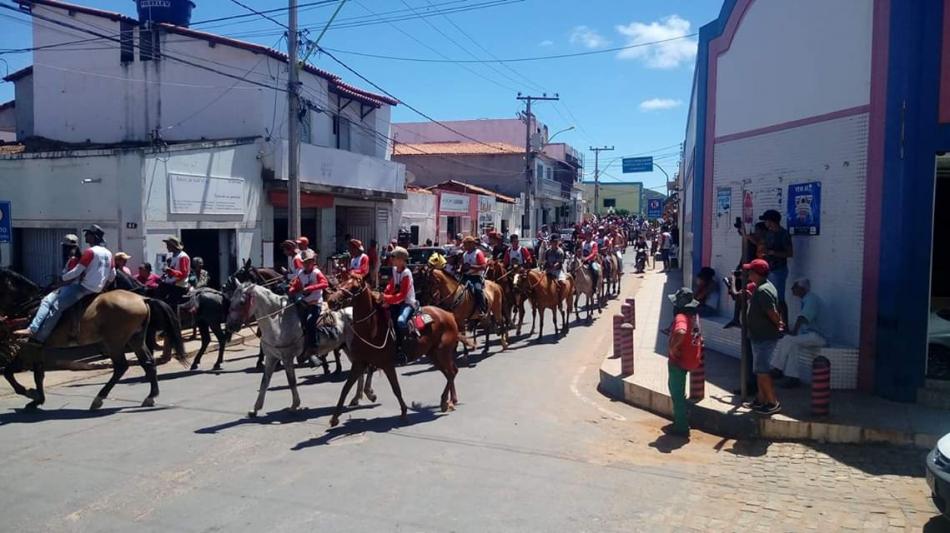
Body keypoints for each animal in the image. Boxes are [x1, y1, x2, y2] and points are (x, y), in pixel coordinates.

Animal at [326, 274, 474, 424]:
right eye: (342, 283)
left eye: (354, 287)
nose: (331, 300)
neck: (372, 329)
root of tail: (449, 315)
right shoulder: (359, 363)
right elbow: (345, 388)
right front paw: (334, 418)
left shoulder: (387, 364)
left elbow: (396, 388)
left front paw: (403, 412)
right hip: (433, 355)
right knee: (450, 373)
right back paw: (450, 401)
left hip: (442, 352)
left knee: (452, 372)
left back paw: (445, 402)